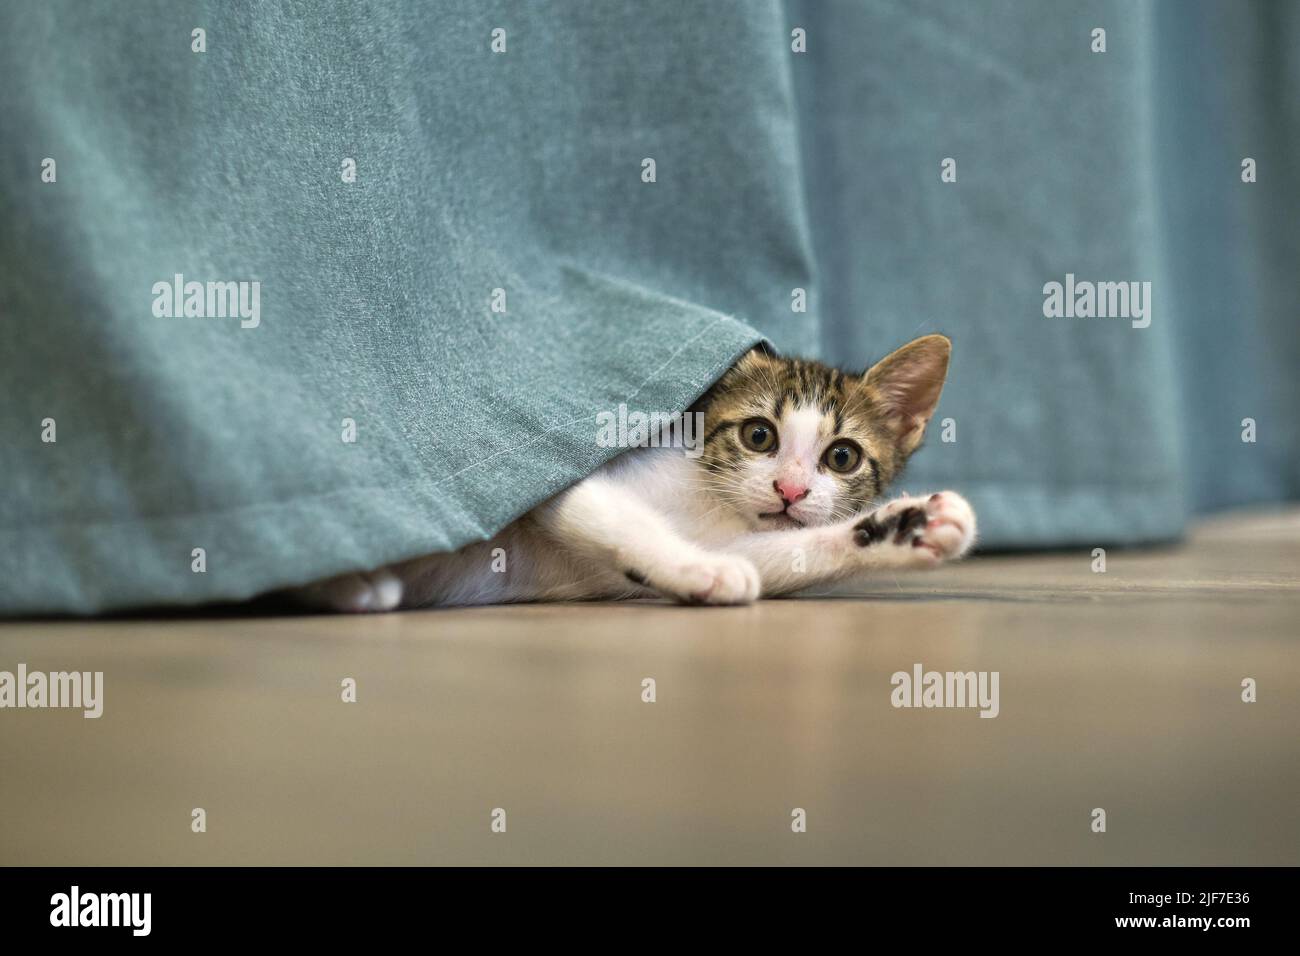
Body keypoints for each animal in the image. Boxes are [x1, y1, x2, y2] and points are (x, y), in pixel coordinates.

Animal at [289, 332, 972, 608]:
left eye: (842, 457)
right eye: (758, 436)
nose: (790, 489)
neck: (704, 500)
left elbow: (785, 553)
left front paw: (909, 525)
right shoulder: (556, 473)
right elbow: (620, 516)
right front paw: (699, 569)